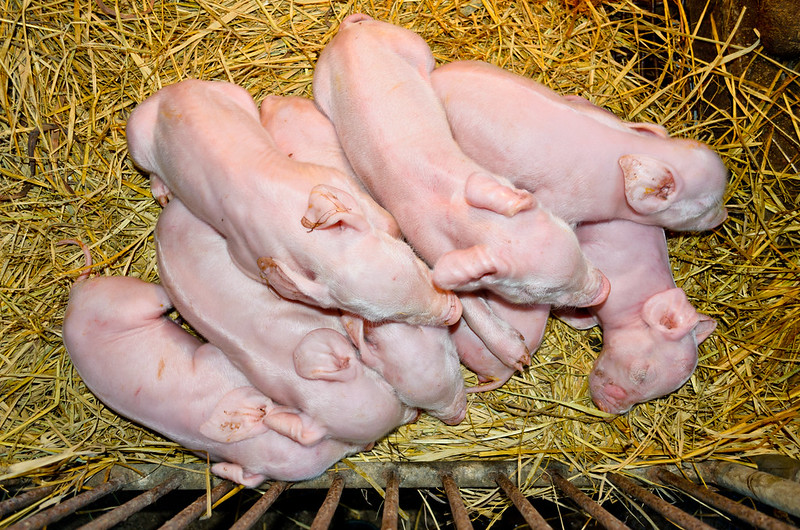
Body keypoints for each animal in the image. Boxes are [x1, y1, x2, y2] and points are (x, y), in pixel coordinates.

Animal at [62, 272, 364, 488]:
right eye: (324, 446)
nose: (366, 444)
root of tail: (75, 297)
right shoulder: (214, 361)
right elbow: (213, 351)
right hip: (130, 299)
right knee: (157, 295)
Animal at [125, 78, 461, 327]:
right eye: (393, 317)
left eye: (416, 262)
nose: (455, 312)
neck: (314, 242)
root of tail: (167, 93)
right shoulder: (244, 253)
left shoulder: (332, 178)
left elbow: (384, 219)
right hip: (135, 134)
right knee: (151, 169)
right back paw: (163, 194)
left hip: (234, 94)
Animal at [312, 14, 610, 312]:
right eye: (534, 291)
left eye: (571, 236)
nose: (604, 289)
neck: (473, 221)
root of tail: (347, 32)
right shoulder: (431, 246)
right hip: (321, 87)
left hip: (410, 43)